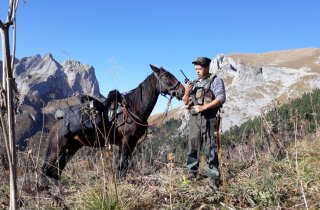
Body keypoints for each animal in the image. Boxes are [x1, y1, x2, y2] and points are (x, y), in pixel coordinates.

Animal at [42, 65, 185, 180]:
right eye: (166, 76)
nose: (183, 91)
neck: (134, 109)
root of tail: (58, 120)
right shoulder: (127, 141)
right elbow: (122, 165)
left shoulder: (128, 144)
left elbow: (123, 165)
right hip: (58, 147)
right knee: (46, 169)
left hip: (71, 147)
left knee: (56, 170)